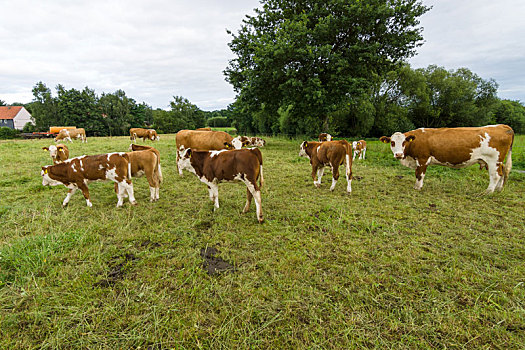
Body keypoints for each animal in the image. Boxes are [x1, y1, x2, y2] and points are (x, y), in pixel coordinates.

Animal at [378, 124, 512, 193]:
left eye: (404, 142)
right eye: (392, 143)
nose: (398, 155)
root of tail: (502, 126)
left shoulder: (423, 159)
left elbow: (420, 174)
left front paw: (418, 187)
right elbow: (417, 173)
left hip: (494, 160)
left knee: (496, 175)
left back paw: (488, 191)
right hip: (497, 162)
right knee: (503, 172)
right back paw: (499, 189)